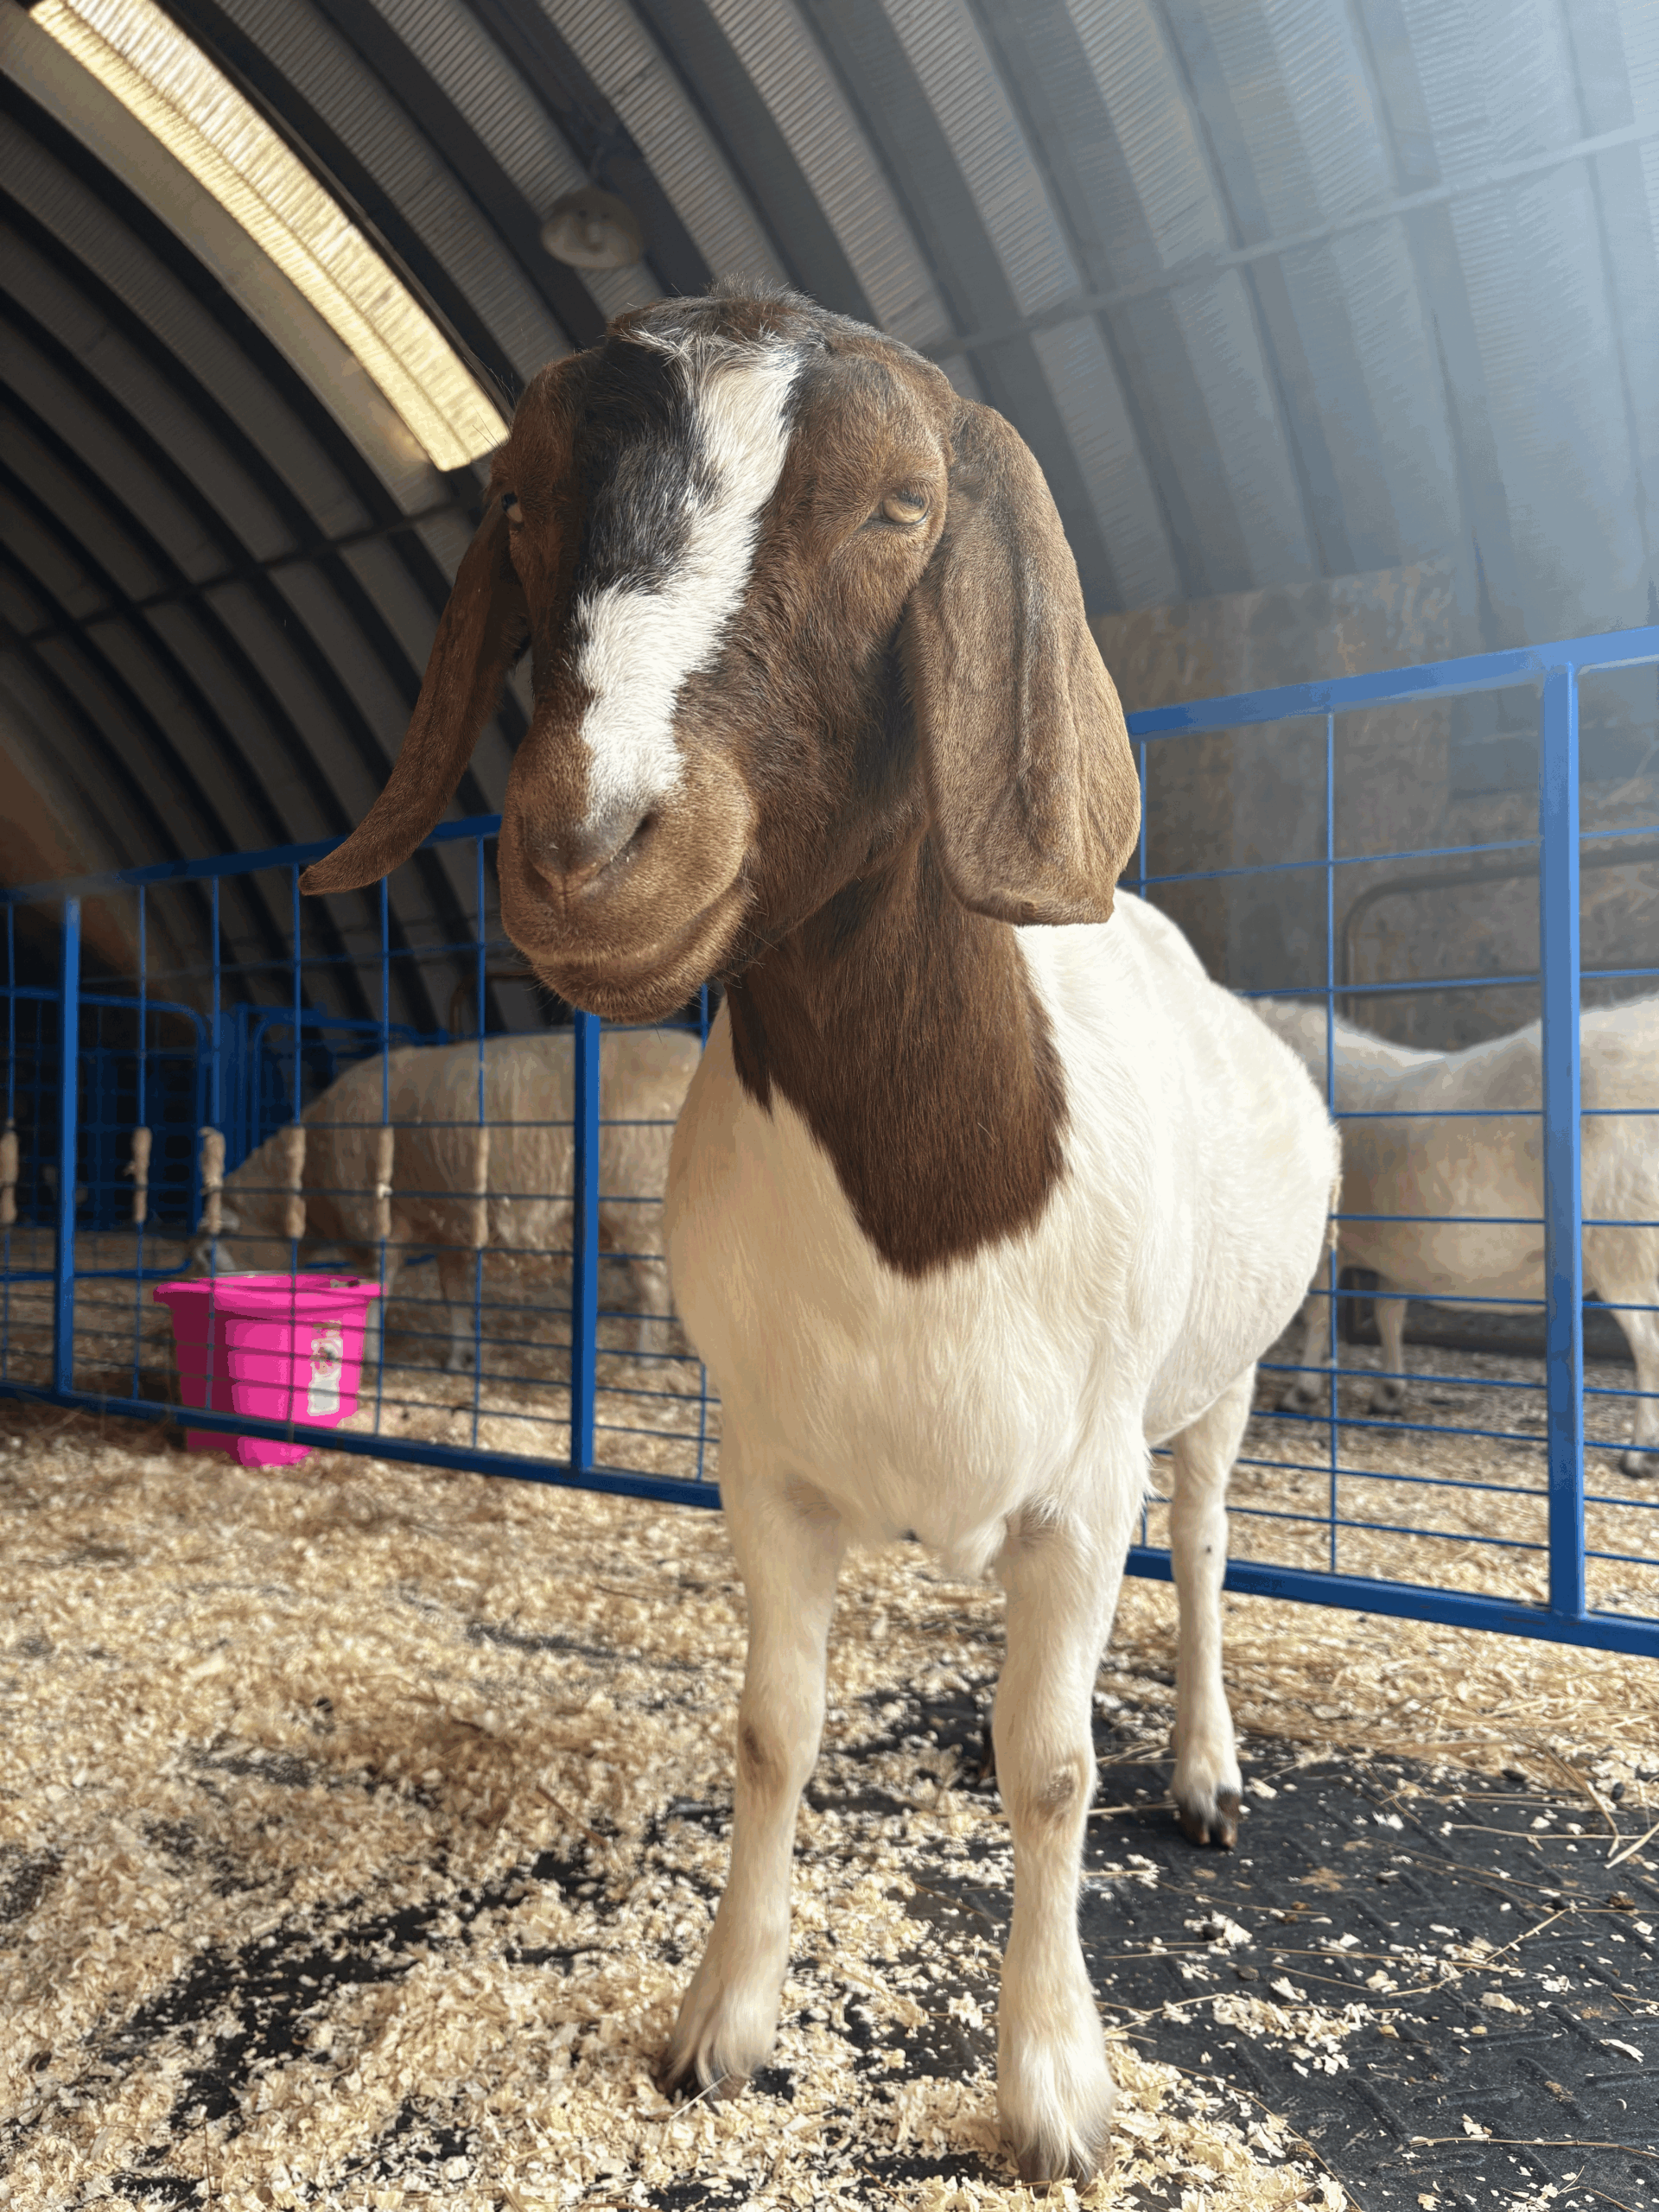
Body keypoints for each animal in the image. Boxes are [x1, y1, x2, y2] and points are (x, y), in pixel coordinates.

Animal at [193, 1028, 700, 1370]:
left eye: (209, 1255)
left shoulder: (375, 1224)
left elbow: (376, 1292)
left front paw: (369, 1355)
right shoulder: (449, 1229)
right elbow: (455, 1296)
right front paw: (462, 1355)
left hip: (636, 1204)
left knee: (655, 1287)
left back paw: (647, 1360)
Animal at [299, 291, 1339, 2185]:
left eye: (902, 507)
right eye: (525, 503)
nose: (590, 844)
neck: (927, 1197)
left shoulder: (1084, 1484)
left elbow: (1055, 1768)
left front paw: (1055, 2090)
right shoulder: (770, 1466)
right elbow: (777, 1727)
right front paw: (723, 2018)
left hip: (1217, 1383)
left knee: (1213, 1549)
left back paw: (1206, 1766)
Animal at [1253, 996, 1659, 1477]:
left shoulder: (1320, 1243)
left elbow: (1317, 1314)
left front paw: (1302, 1391)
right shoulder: (1397, 1251)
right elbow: (1388, 1313)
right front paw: (1389, 1392)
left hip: (1623, 1243)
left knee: (1649, 1348)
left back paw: (1640, 1453)